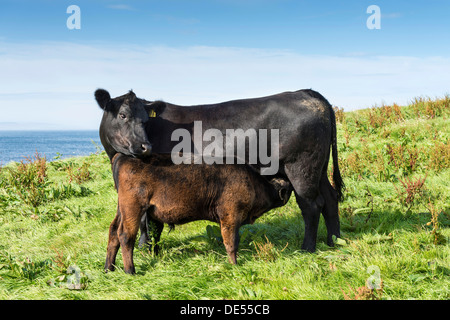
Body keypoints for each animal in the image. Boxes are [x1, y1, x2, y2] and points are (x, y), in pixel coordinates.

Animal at [95, 88, 344, 252]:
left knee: (311, 205)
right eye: (122, 115)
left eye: (146, 120)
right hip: (319, 169)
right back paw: (335, 241)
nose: (145, 146)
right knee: (330, 199)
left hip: (300, 167)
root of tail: (306, 93)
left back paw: (307, 248)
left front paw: (146, 248)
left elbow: (147, 219)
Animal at [105, 154, 292, 274]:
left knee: (113, 232)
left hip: (121, 210)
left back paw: (109, 268)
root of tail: (123, 157)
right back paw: (130, 271)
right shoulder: (230, 217)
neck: (253, 182)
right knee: (125, 236)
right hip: (132, 209)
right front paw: (234, 265)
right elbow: (231, 242)